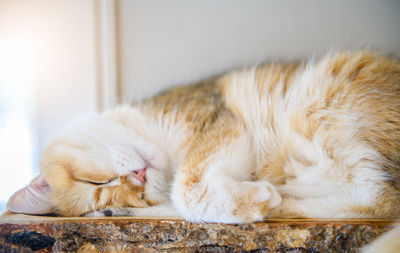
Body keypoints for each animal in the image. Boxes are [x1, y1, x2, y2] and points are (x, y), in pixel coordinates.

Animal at [6, 50, 400, 224]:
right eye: (107, 197)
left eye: (94, 181)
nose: (139, 178)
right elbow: (184, 198)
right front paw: (254, 199)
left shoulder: (217, 121)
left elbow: (187, 186)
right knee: (374, 196)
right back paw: (278, 198)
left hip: (323, 89)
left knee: (379, 196)